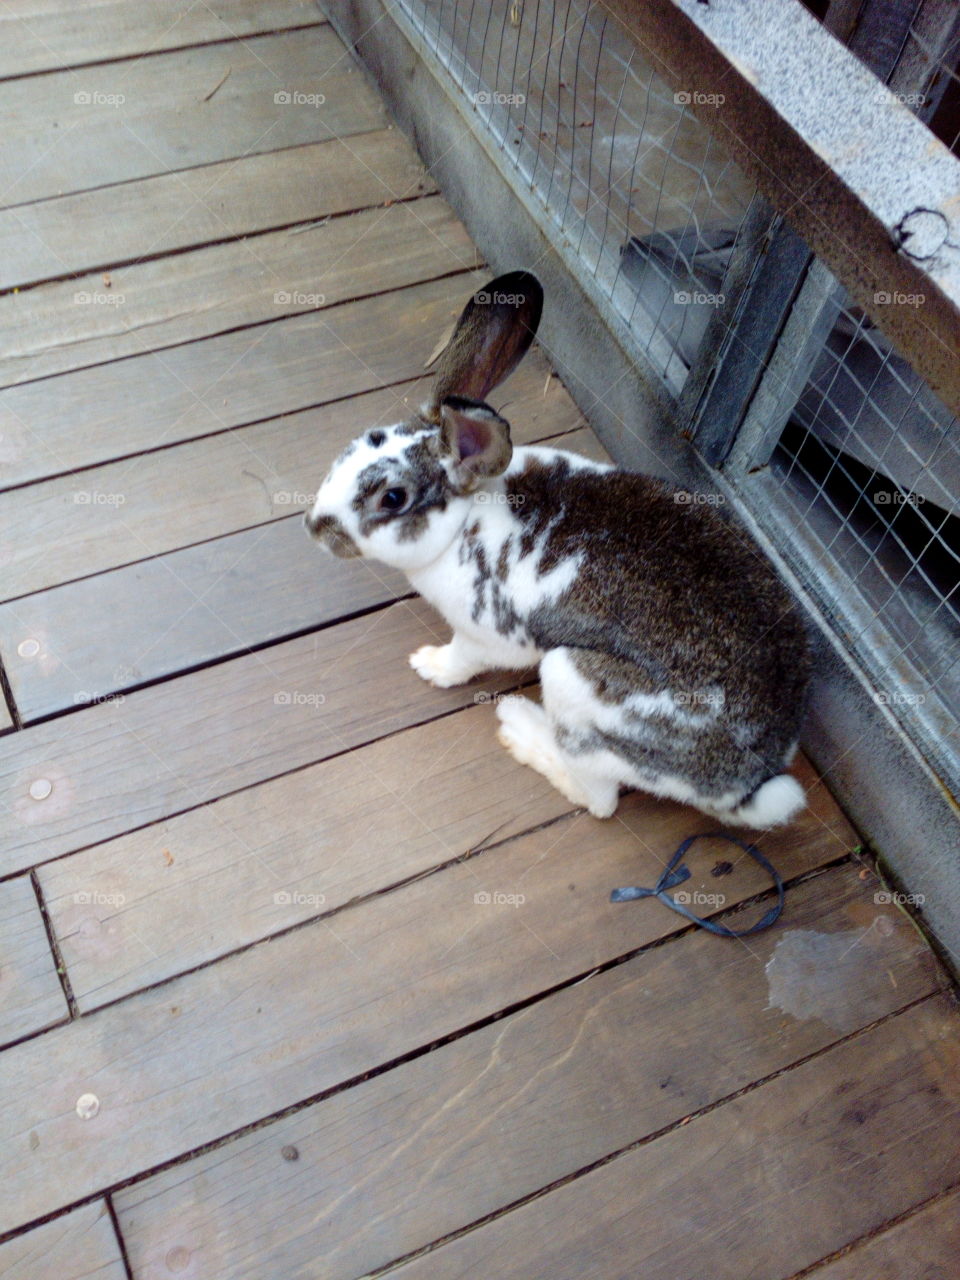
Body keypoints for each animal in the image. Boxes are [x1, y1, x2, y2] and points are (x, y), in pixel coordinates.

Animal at [305, 270, 812, 826]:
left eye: (392, 498)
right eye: (355, 446)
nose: (315, 526)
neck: (466, 517)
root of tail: (748, 785)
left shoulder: (484, 636)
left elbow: (462, 660)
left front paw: (429, 665)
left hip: (575, 685)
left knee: (600, 800)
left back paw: (523, 729)